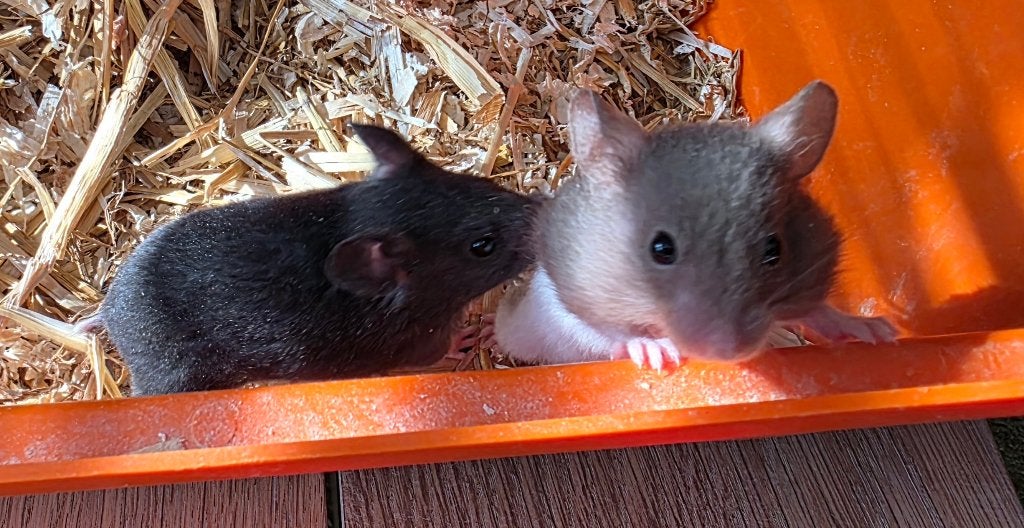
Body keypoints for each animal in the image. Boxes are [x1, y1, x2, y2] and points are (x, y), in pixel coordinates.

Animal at [79, 124, 538, 395]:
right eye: (483, 246)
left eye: (475, 182)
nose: (545, 208)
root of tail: (112, 318)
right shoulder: (415, 344)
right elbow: (440, 353)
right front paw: (469, 335)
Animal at [492, 80, 898, 370]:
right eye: (661, 249)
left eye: (774, 250)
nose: (728, 352)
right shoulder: (569, 298)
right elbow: (607, 330)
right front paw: (659, 355)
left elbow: (816, 311)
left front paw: (879, 331)